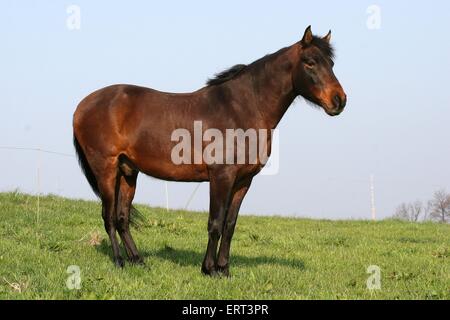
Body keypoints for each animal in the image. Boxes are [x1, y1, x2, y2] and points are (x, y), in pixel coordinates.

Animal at [74, 26, 348, 276]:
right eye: (310, 62)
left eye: (331, 63)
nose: (339, 100)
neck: (241, 109)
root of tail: (82, 106)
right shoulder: (221, 176)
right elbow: (215, 223)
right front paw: (209, 269)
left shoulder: (243, 181)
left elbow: (230, 225)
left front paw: (224, 269)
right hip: (106, 169)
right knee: (109, 216)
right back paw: (119, 262)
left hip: (128, 171)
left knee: (122, 218)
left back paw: (138, 261)